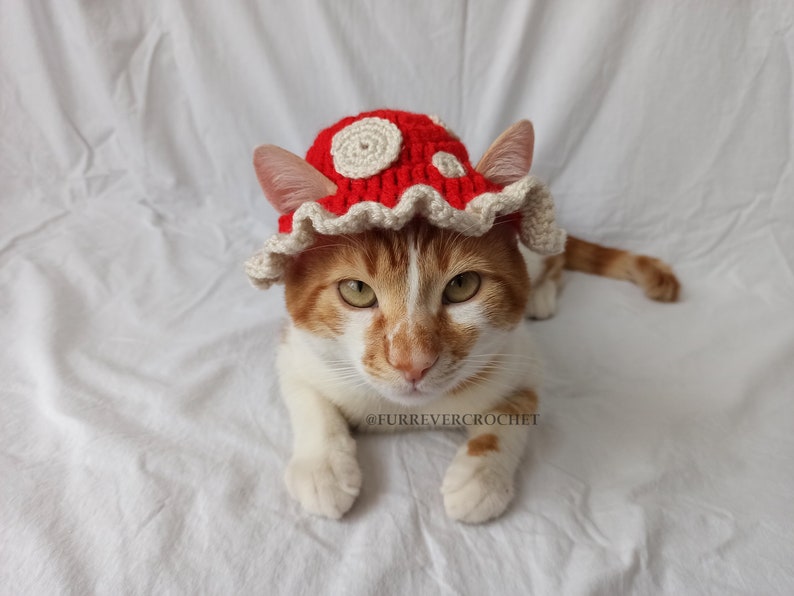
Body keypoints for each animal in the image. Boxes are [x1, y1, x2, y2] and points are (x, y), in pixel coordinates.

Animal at [246, 112, 676, 520]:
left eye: (462, 285)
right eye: (356, 290)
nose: (413, 363)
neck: (409, 412)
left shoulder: (524, 360)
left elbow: (514, 410)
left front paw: (479, 481)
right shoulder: (295, 353)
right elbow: (311, 403)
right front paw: (323, 470)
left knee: (557, 258)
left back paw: (543, 295)